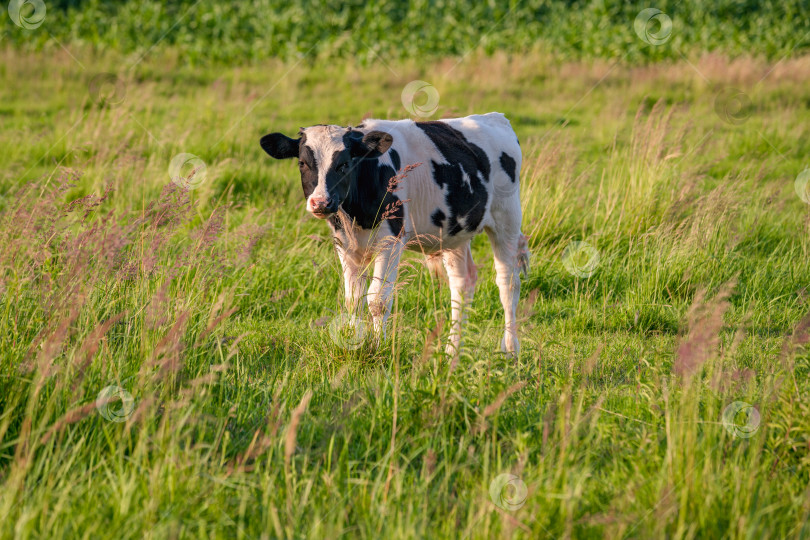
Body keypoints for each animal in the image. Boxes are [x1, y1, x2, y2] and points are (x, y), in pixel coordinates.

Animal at [256, 112, 528, 354]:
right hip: (455, 232)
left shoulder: (391, 241)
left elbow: (377, 300)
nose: (321, 202)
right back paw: (452, 352)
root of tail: (495, 117)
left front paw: (378, 347)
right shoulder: (344, 245)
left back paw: (510, 350)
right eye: (302, 163)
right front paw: (353, 344)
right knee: (462, 284)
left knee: (508, 283)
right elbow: (353, 300)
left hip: (507, 219)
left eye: (344, 164)